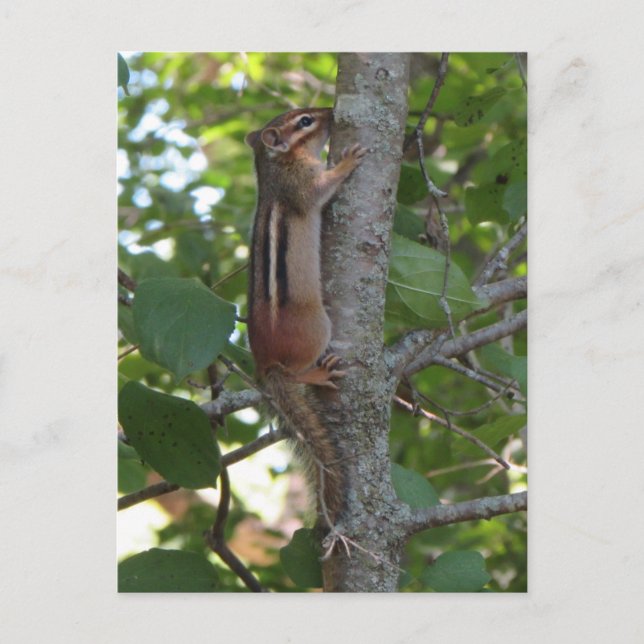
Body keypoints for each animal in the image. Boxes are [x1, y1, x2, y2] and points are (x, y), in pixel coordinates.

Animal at [245, 107, 367, 526]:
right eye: (305, 122)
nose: (331, 112)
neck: (276, 165)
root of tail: (266, 366)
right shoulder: (302, 185)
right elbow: (321, 188)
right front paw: (346, 161)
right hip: (318, 328)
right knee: (296, 372)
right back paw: (318, 374)